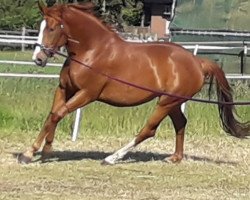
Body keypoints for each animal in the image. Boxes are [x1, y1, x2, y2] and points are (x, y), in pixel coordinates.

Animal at [18, 2, 250, 164]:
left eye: (52, 28)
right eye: (41, 26)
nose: (38, 59)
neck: (92, 51)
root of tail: (198, 62)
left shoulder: (87, 94)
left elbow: (57, 114)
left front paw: (36, 153)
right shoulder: (65, 89)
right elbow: (52, 115)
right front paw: (37, 151)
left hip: (166, 102)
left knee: (149, 130)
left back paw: (112, 158)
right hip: (172, 102)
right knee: (180, 123)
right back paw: (175, 158)